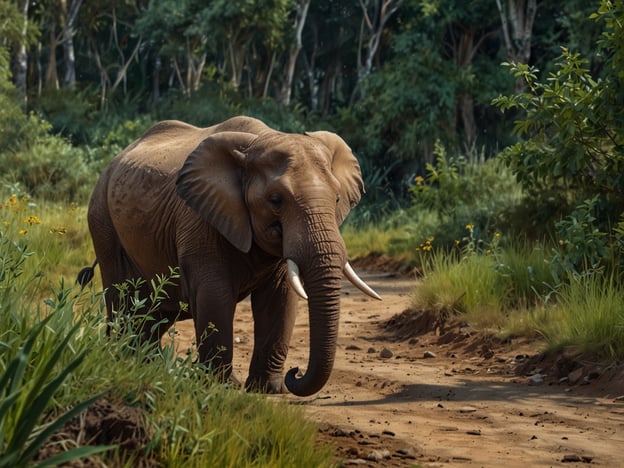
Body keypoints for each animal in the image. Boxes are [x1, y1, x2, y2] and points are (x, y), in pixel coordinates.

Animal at [84, 116, 380, 394]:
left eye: (337, 199)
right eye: (275, 200)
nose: (295, 372)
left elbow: (280, 298)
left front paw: (269, 389)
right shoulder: (200, 220)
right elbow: (215, 295)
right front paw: (223, 386)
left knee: (154, 312)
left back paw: (146, 366)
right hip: (102, 221)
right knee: (123, 300)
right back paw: (125, 362)